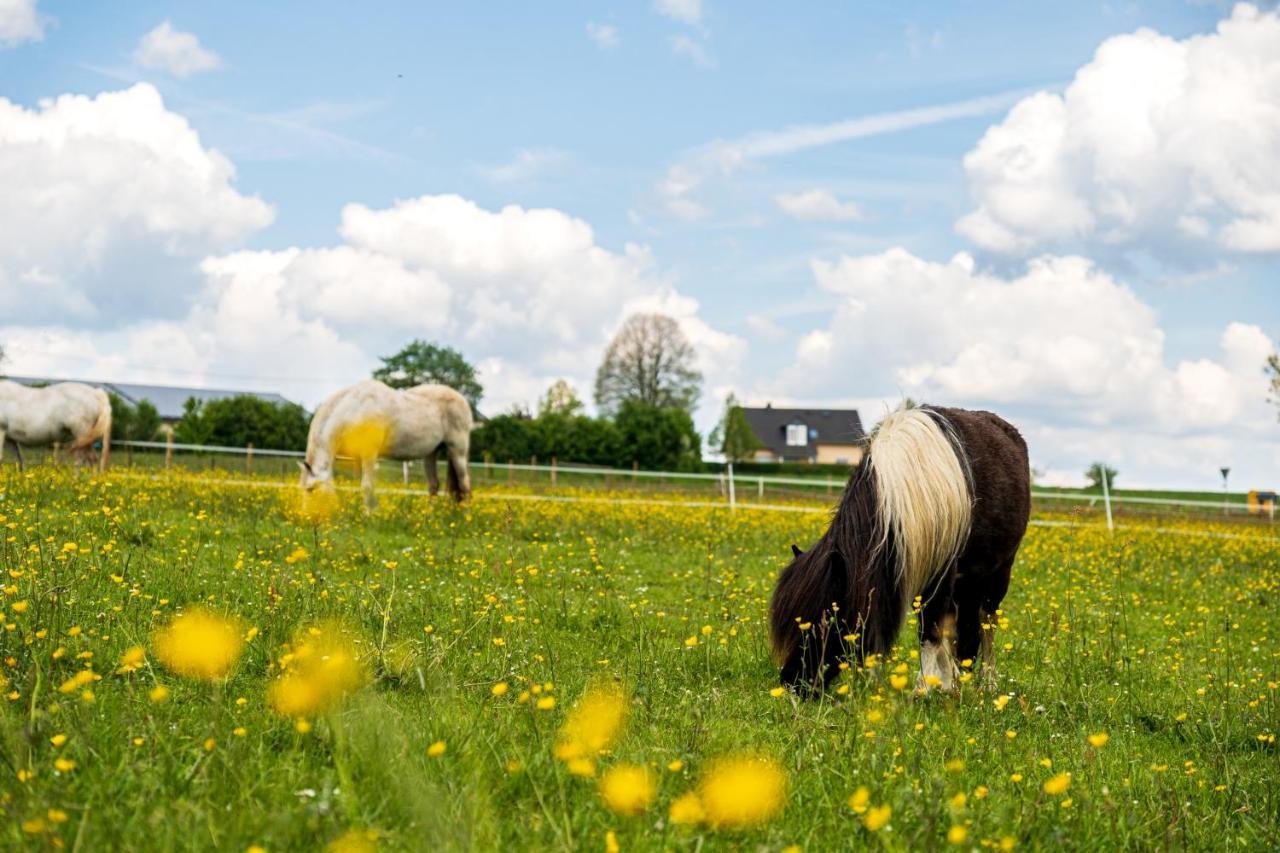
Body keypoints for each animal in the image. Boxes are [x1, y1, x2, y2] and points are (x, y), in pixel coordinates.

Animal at [296, 376, 473, 504]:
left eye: (311, 489)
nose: (310, 519)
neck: (354, 410)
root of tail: (462, 400)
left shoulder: (369, 454)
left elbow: (367, 486)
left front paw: (368, 517)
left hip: (458, 450)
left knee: (465, 486)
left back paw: (465, 517)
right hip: (431, 453)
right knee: (434, 485)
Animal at [768, 404, 1029, 691]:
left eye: (825, 621)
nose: (792, 683)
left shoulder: (940, 574)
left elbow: (930, 629)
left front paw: (922, 689)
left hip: (998, 573)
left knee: (986, 621)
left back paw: (986, 682)